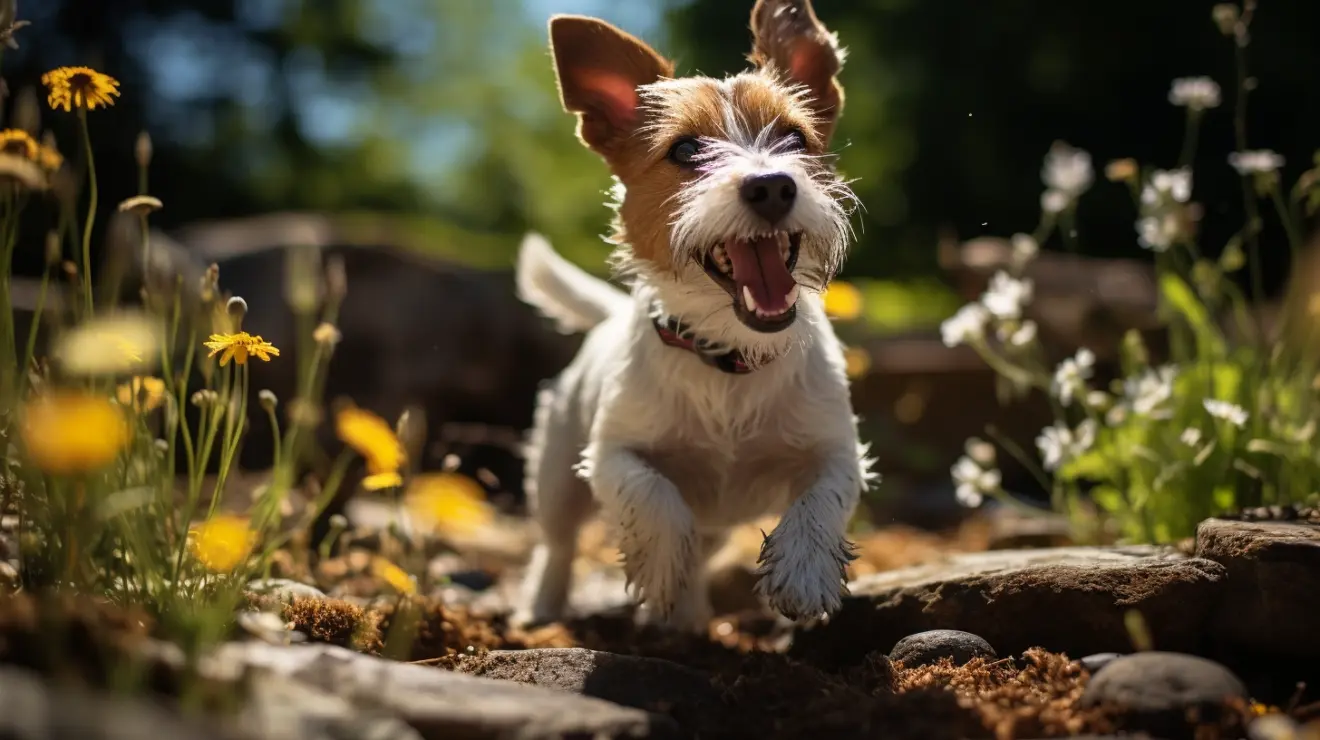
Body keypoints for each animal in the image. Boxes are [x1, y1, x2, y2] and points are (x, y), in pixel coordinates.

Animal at [512, 0, 876, 633]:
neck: (728, 358)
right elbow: (651, 496)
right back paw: (544, 604)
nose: (772, 185)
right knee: (558, 543)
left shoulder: (836, 449)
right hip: (555, 474)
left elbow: (821, 500)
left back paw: (688, 617)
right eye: (685, 152)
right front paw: (659, 568)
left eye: (794, 138)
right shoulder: (610, 454)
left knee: (702, 551)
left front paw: (804, 571)